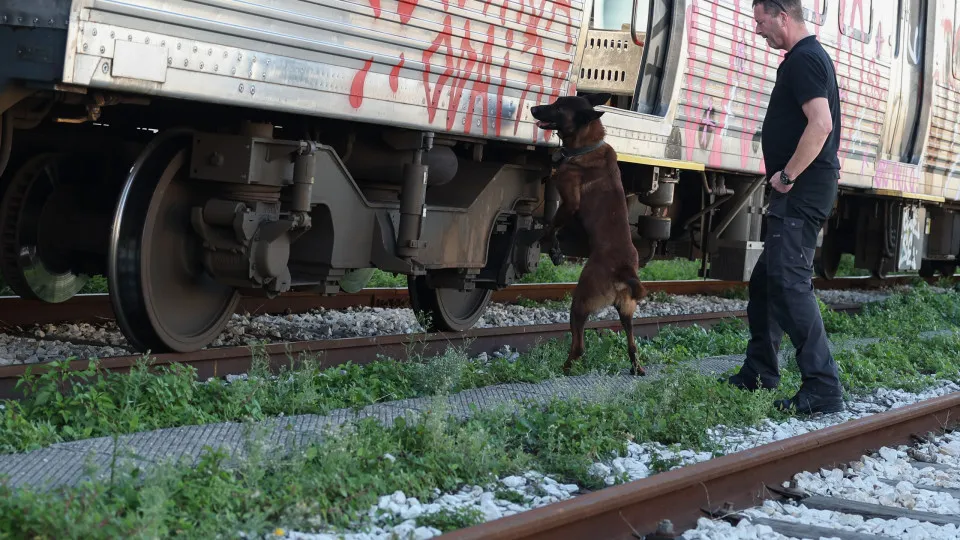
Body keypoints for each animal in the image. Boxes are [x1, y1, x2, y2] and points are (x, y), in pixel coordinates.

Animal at [532, 93, 644, 378]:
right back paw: (637, 367)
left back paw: (565, 368)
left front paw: (548, 242)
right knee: (632, 342)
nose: (533, 108)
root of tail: (625, 271)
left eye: (559, 107)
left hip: (580, 301)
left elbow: (553, 225)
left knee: (579, 345)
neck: (588, 146)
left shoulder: (569, 202)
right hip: (627, 311)